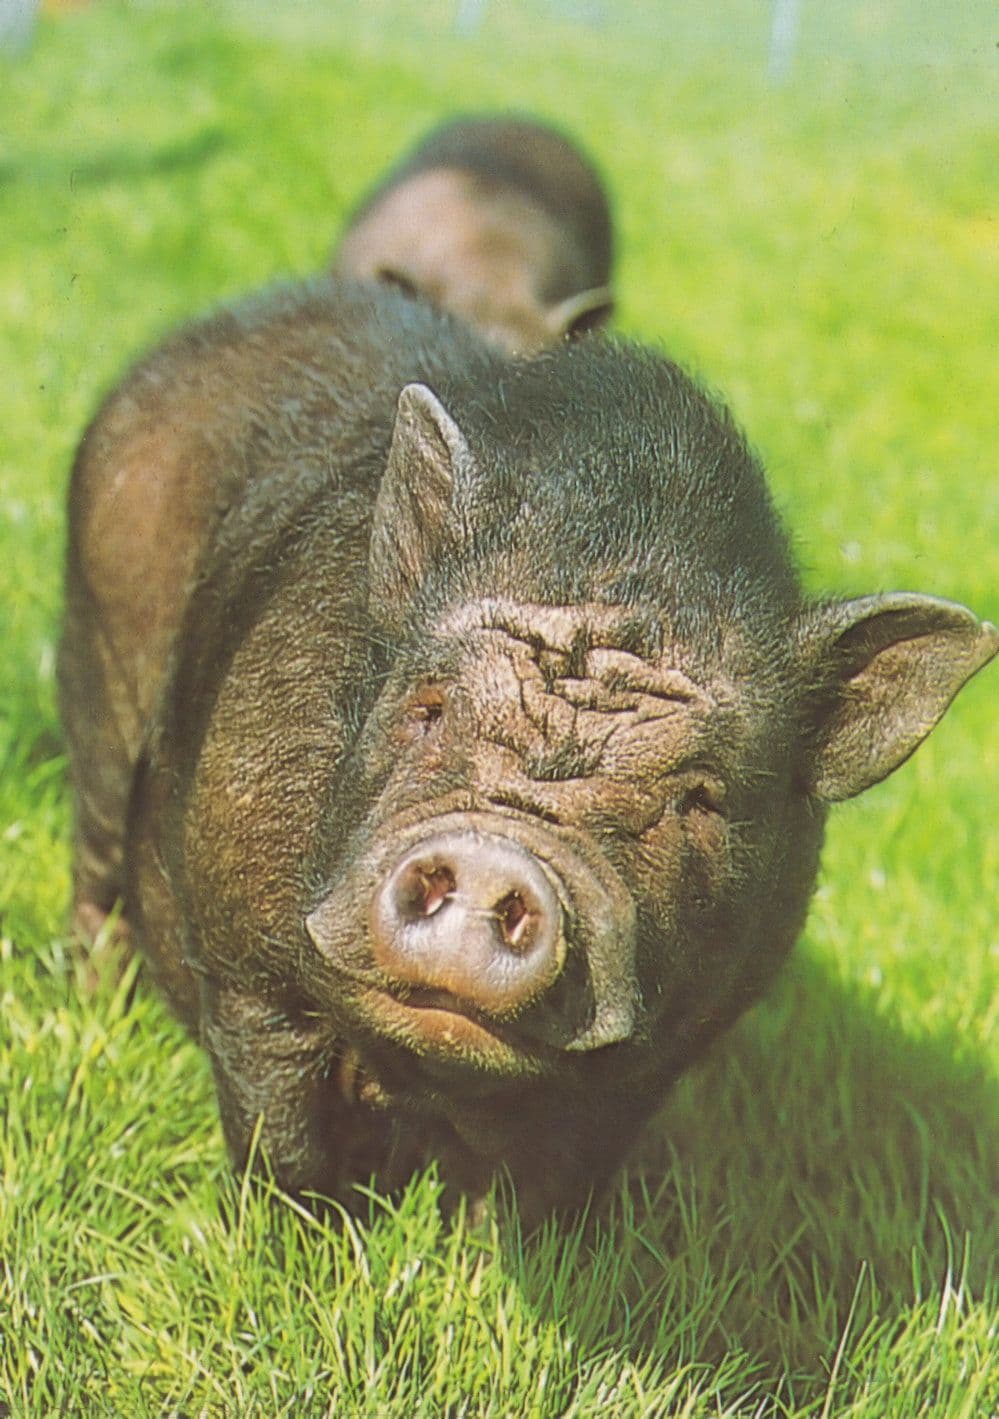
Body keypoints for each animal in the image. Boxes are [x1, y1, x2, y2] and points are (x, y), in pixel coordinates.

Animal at [59, 277, 996, 1222]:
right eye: (429, 708)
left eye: (697, 798)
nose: (490, 854)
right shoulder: (244, 951)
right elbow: (278, 1129)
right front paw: (303, 1230)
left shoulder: (646, 1069)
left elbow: (535, 1186)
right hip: (99, 650)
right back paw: (95, 995)